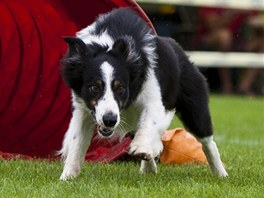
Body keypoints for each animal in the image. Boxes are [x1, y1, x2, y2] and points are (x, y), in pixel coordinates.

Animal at [58, 7, 228, 180]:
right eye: (94, 87)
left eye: (120, 88)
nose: (110, 120)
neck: (108, 45)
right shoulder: (83, 109)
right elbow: (77, 140)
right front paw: (67, 176)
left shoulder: (155, 100)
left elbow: (149, 123)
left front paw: (140, 147)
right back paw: (149, 167)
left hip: (194, 108)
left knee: (207, 141)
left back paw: (220, 173)